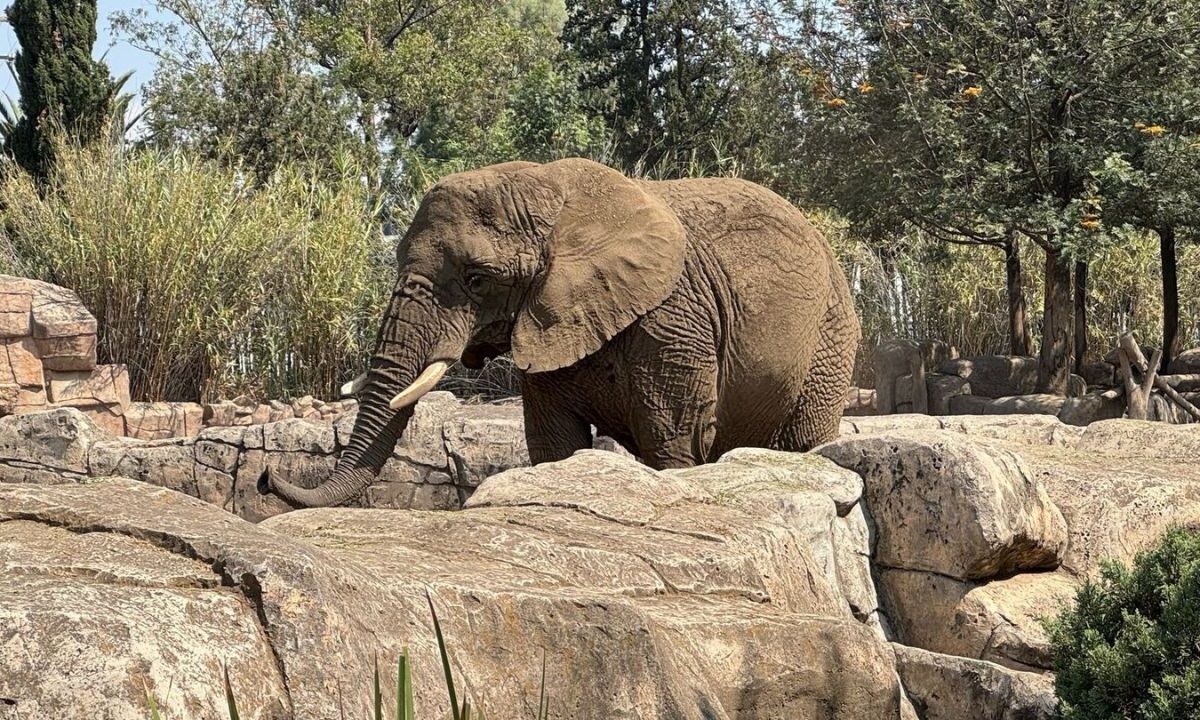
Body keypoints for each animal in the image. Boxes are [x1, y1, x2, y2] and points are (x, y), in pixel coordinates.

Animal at [268, 157, 859, 506]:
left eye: (477, 279)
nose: (269, 479)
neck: (554, 196)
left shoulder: (672, 320)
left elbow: (674, 437)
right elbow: (555, 443)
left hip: (831, 332)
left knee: (803, 436)